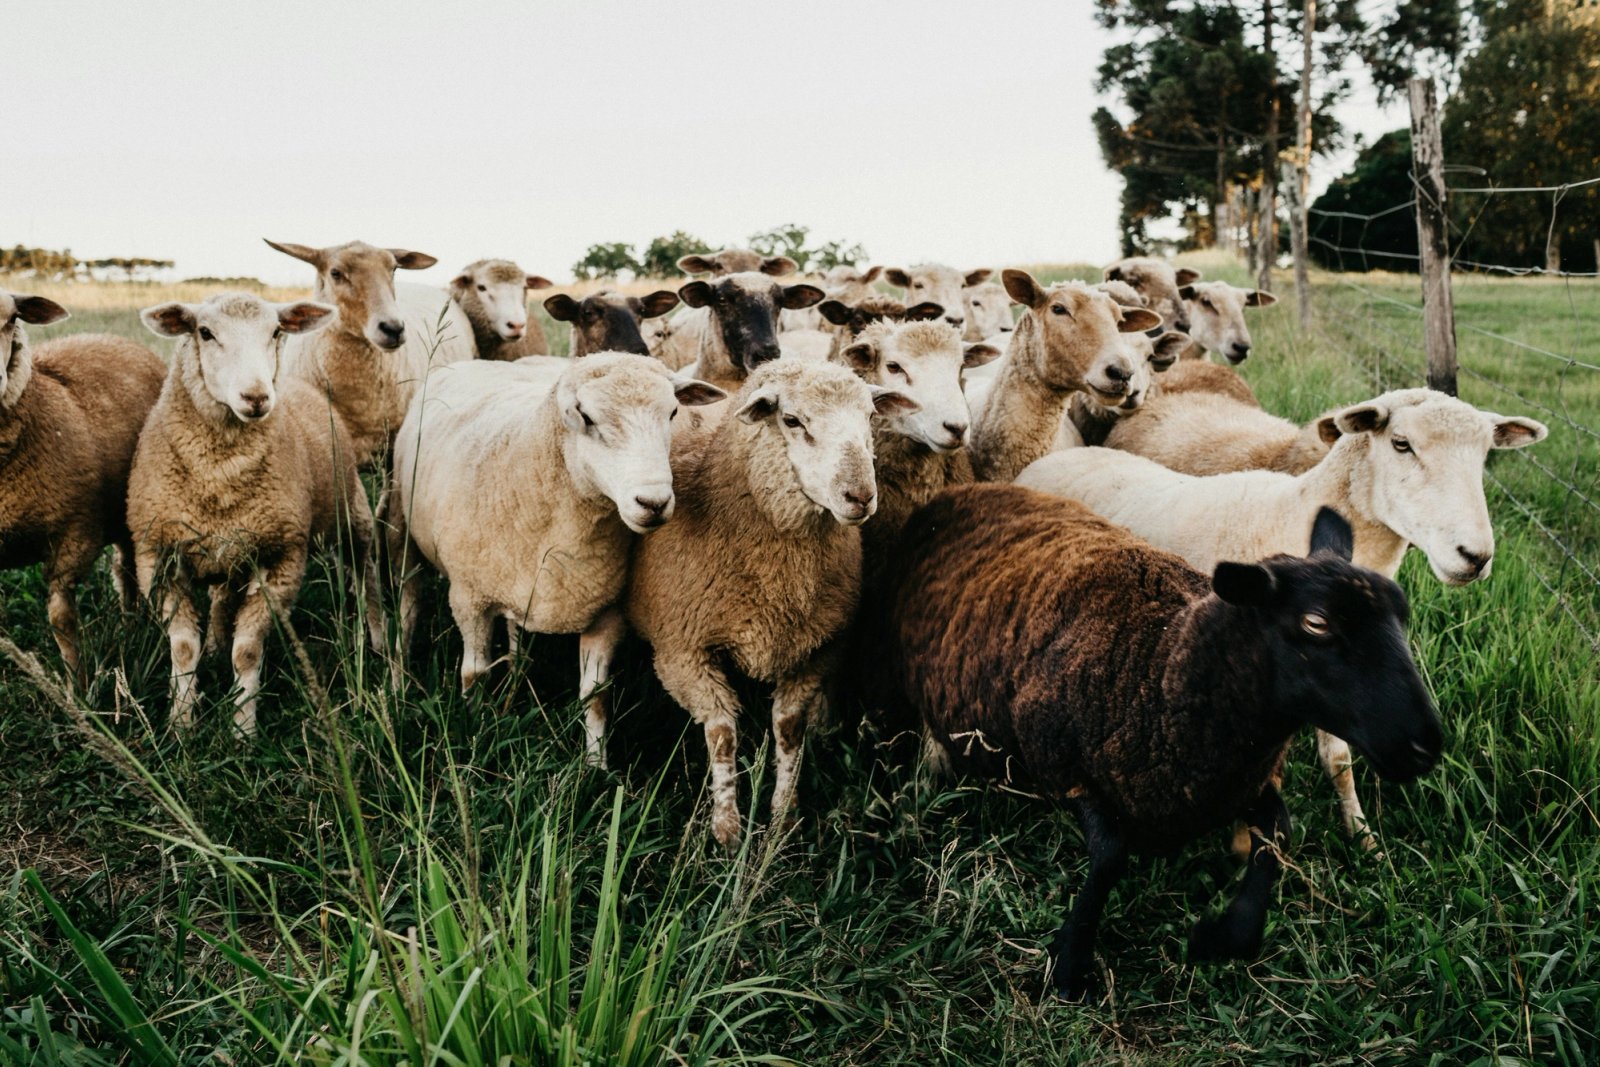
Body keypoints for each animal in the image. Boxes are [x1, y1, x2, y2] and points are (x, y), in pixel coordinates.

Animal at [0, 291, 166, 686]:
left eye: (12, 319)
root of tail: (115, 339)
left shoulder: (73, 535)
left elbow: (62, 621)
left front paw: (79, 687)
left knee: (126, 571)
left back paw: (132, 626)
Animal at [130, 293, 384, 735]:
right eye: (205, 332)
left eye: (276, 331)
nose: (256, 397)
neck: (220, 476)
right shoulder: (159, 556)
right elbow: (183, 648)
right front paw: (180, 724)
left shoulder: (281, 557)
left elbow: (247, 651)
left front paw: (242, 730)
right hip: (232, 550)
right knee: (221, 600)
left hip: (353, 512)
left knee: (366, 573)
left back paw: (381, 644)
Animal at [391, 353, 724, 766]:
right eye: (586, 417)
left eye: (673, 412)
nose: (654, 502)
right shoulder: (469, 599)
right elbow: (474, 674)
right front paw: (473, 738)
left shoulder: (605, 611)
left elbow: (595, 697)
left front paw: (595, 767)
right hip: (402, 528)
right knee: (408, 605)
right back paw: (400, 677)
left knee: (516, 632)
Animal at [625, 359, 918, 846]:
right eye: (792, 420)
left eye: (870, 417)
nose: (860, 496)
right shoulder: (683, 653)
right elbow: (722, 734)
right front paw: (727, 829)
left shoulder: (817, 650)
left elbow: (788, 728)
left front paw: (783, 814)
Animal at [879, 483, 1440, 998]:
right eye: (1316, 623)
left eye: (1401, 613)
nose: (1424, 745)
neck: (1160, 666)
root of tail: (966, 489)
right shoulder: (1064, 768)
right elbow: (1110, 857)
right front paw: (1070, 965)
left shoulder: (1238, 780)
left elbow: (1276, 835)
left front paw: (1223, 937)